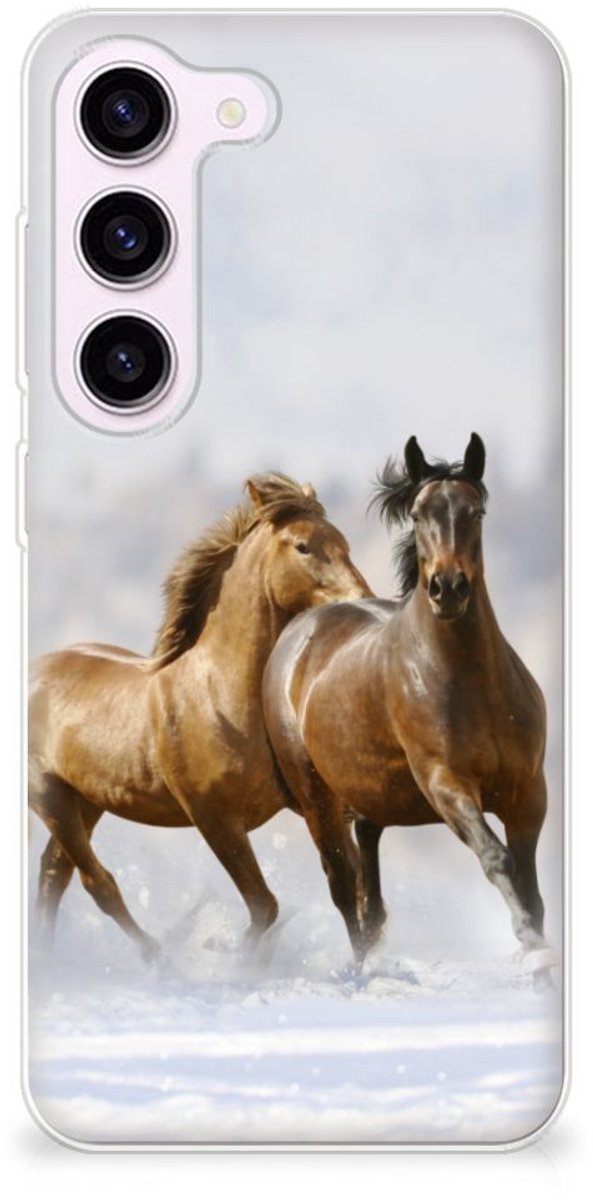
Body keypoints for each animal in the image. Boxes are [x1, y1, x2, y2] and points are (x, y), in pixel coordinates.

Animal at [29, 473, 371, 960]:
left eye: (343, 542)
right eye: (303, 546)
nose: (363, 600)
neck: (220, 696)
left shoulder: (311, 804)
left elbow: (347, 885)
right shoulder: (214, 818)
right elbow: (265, 905)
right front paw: (230, 956)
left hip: (86, 800)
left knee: (54, 873)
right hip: (48, 795)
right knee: (98, 883)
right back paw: (158, 958)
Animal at [263, 435, 549, 966]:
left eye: (476, 511)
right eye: (417, 514)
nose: (448, 588)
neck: (472, 685)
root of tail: (298, 631)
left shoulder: (528, 793)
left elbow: (531, 887)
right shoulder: (446, 785)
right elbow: (496, 858)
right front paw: (530, 945)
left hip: (368, 796)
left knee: (369, 889)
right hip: (317, 799)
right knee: (343, 887)